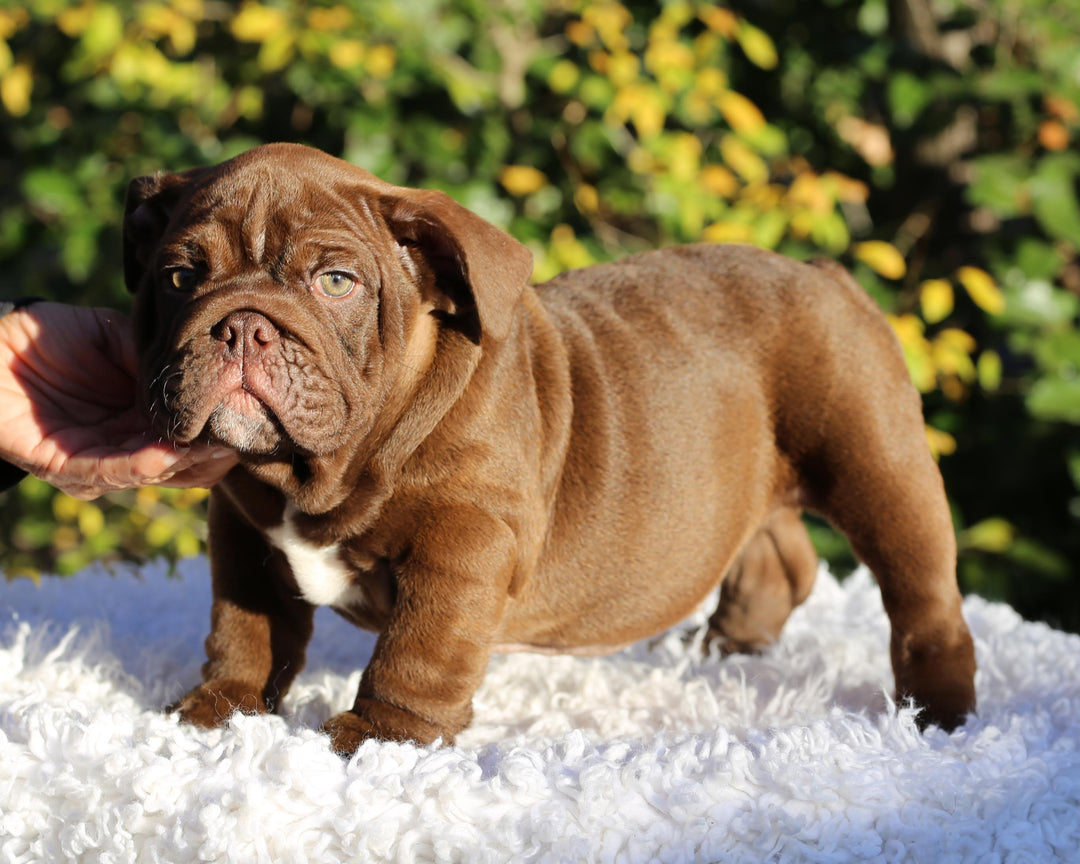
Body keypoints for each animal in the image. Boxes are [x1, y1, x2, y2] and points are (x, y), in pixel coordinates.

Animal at [126, 144, 980, 751]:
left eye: (336, 282)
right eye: (178, 278)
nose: (242, 324)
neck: (320, 473)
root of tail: (824, 272)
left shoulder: (465, 544)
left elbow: (419, 647)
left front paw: (380, 737)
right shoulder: (244, 532)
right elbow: (248, 627)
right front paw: (221, 709)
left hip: (877, 467)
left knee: (923, 596)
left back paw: (936, 713)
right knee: (783, 554)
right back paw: (730, 644)